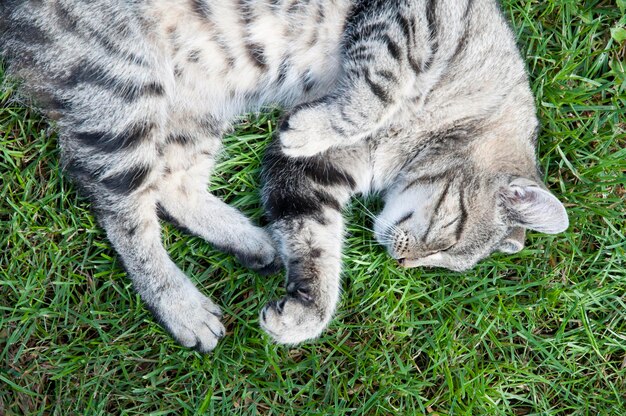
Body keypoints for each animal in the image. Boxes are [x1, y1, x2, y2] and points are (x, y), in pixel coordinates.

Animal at [0, 0, 564, 352]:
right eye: (451, 230)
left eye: (442, 264)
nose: (403, 262)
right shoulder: (405, 24)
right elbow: (375, 91)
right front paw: (312, 126)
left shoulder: (316, 171)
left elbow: (313, 240)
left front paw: (305, 313)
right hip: (122, 85)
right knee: (121, 212)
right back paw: (181, 305)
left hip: (197, 104)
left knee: (170, 185)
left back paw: (251, 240)